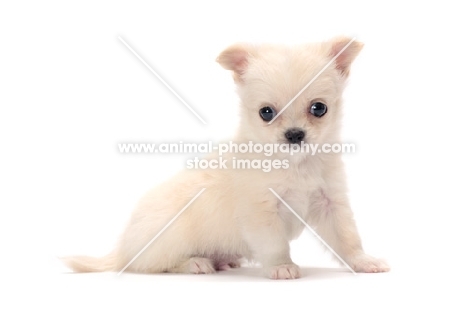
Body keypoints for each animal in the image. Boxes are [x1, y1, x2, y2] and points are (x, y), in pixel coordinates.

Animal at [64, 37, 390, 280]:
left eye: (319, 108)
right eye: (266, 113)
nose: (295, 134)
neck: (293, 164)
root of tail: (122, 247)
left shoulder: (330, 203)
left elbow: (347, 238)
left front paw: (363, 261)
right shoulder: (261, 213)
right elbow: (274, 244)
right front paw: (281, 266)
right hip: (169, 241)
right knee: (149, 265)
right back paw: (196, 263)